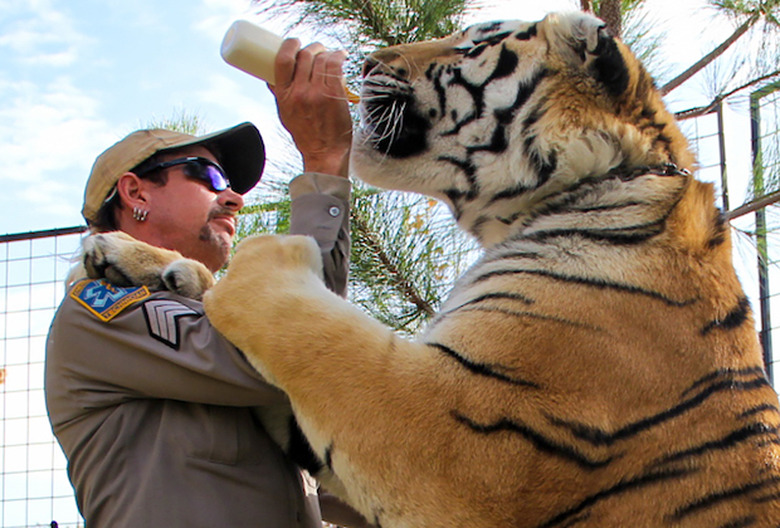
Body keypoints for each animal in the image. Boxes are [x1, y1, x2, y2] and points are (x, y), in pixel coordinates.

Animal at [83, 11, 780, 527]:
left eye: (472, 43)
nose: (365, 64)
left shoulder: (453, 431)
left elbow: (308, 324)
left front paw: (264, 253)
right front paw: (132, 257)